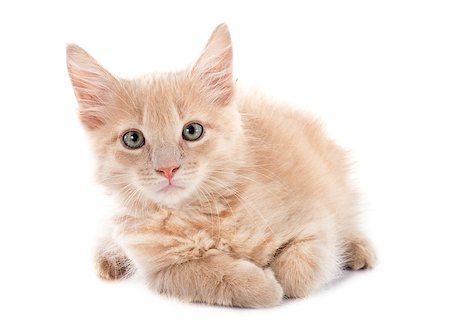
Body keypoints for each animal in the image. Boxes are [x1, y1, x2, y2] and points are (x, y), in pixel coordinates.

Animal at [67, 23, 376, 308]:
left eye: (192, 131)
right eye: (133, 139)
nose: (167, 169)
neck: (198, 215)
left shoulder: (315, 221)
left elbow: (297, 275)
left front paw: (278, 279)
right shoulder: (161, 270)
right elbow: (208, 274)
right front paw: (262, 285)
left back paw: (359, 251)